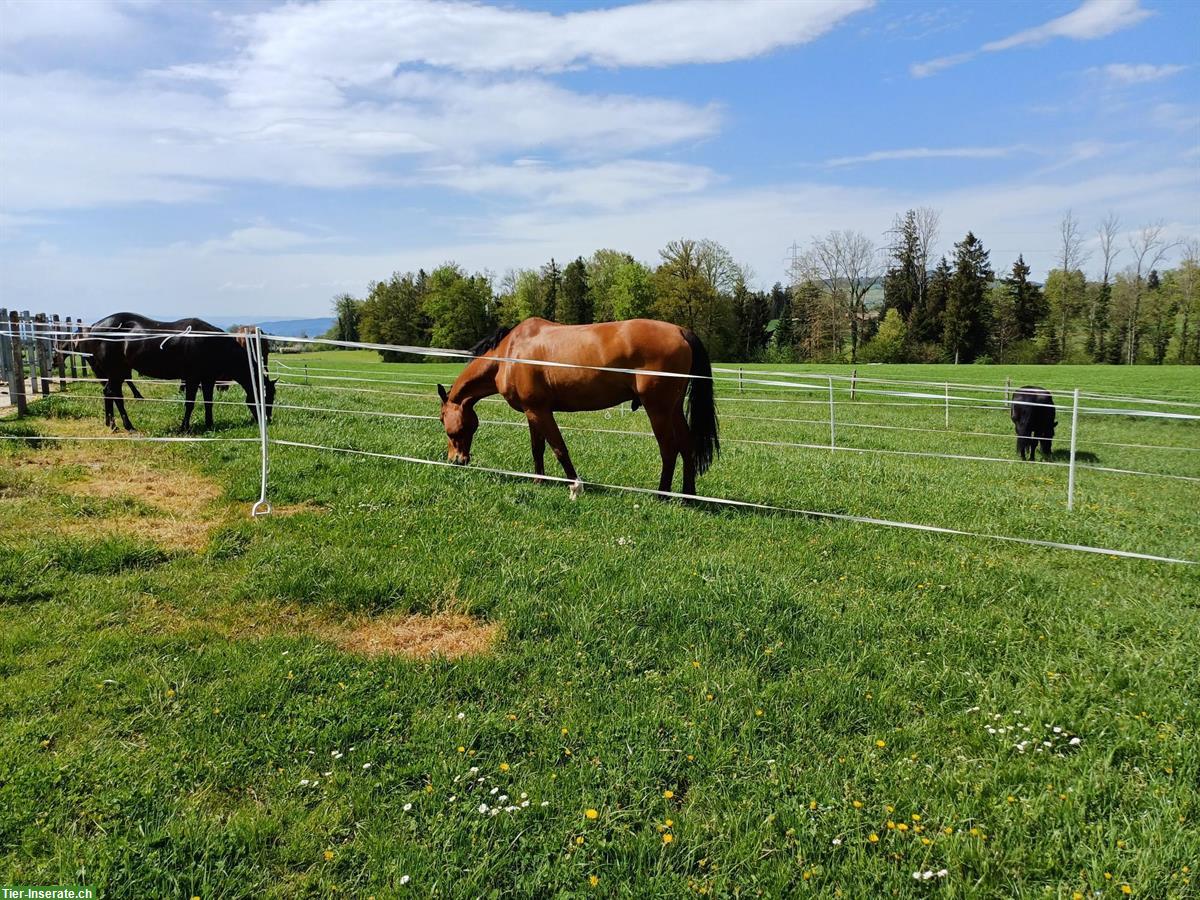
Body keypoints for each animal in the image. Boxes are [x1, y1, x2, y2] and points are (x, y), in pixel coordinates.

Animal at [85, 314, 274, 434]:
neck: (211, 343)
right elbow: (189, 404)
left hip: (115, 373)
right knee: (114, 394)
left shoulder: (208, 379)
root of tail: (95, 326)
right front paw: (184, 428)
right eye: (266, 397)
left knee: (109, 393)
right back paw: (127, 426)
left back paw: (111, 424)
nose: (268, 420)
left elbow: (208, 403)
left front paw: (209, 424)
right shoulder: (192, 379)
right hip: (116, 371)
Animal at [441, 316, 720, 496]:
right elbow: (537, 449)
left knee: (669, 449)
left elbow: (559, 448)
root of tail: (681, 331)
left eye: (445, 424)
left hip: (658, 410)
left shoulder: (540, 411)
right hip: (673, 409)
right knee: (686, 445)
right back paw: (687, 496)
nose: (456, 460)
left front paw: (575, 484)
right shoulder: (532, 413)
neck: (510, 353)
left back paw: (662, 494)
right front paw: (539, 481)